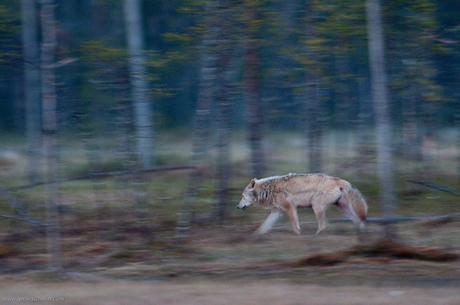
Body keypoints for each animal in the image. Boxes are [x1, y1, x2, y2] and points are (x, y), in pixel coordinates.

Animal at [237, 172, 366, 234]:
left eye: (242, 196)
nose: (237, 206)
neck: (269, 189)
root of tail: (342, 181)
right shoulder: (276, 212)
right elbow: (264, 227)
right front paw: (255, 237)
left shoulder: (290, 208)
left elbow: (295, 226)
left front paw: (298, 236)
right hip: (342, 208)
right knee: (358, 220)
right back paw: (361, 234)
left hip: (316, 206)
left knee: (323, 226)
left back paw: (315, 237)